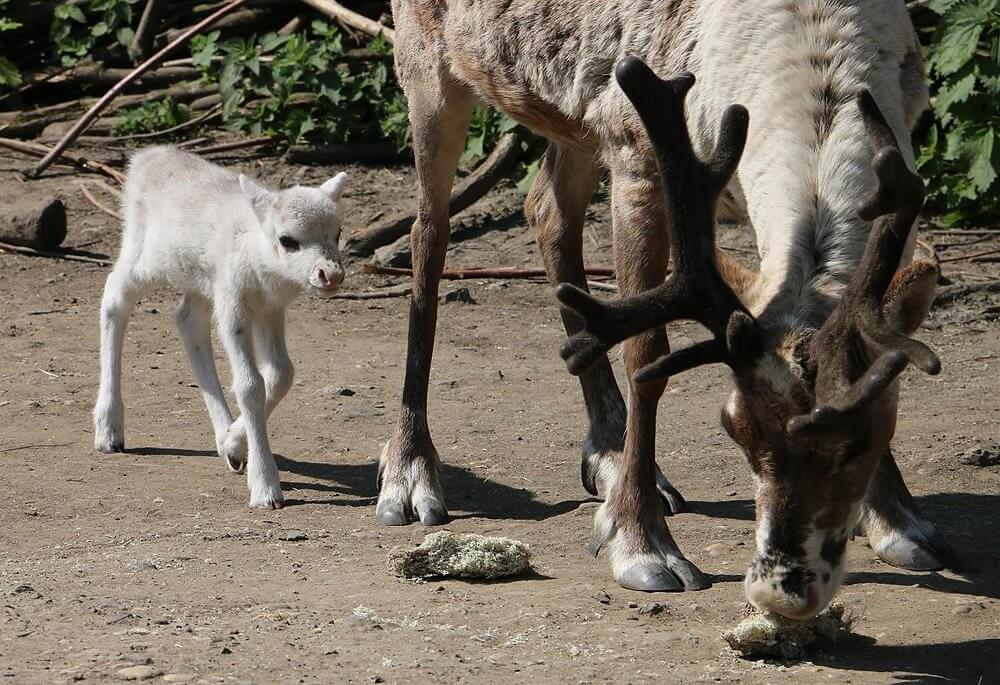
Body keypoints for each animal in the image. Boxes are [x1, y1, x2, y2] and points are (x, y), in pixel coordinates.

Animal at [94, 146, 350, 508]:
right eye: (287, 240)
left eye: (337, 233)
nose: (331, 275)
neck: (256, 252)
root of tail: (145, 156)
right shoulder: (232, 302)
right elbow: (250, 385)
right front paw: (265, 488)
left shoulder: (270, 309)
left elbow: (281, 374)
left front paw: (233, 445)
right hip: (144, 251)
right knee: (114, 297)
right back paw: (109, 429)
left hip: (200, 279)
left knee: (187, 320)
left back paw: (224, 438)